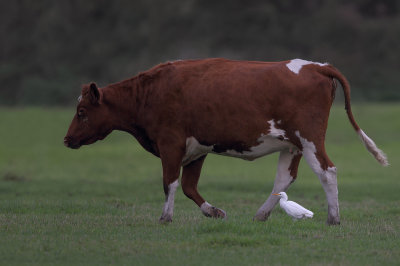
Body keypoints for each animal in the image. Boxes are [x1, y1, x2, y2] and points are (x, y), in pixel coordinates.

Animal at [65, 57, 388, 224]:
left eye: (82, 112)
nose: (67, 139)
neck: (150, 93)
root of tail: (316, 65)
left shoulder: (171, 143)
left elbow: (170, 183)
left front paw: (165, 217)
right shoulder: (197, 149)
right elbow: (189, 186)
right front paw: (213, 211)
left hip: (310, 140)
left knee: (327, 171)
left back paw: (333, 217)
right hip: (292, 145)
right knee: (284, 179)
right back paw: (261, 214)